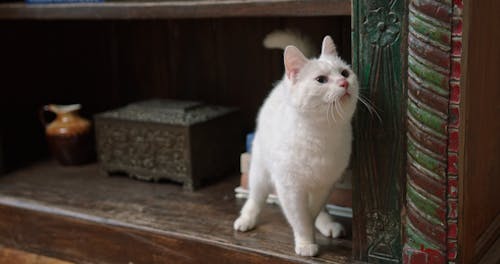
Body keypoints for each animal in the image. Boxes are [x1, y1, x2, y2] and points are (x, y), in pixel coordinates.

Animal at [234, 32, 360, 256]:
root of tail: (282, 82)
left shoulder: (323, 185)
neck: (321, 134)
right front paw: (306, 243)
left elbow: (311, 212)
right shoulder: (289, 188)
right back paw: (246, 219)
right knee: (255, 198)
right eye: (321, 80)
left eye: (345, 73)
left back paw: (327, 224)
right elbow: (300, 218)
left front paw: (312, 229)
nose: (344, 83)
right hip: (260, 171)